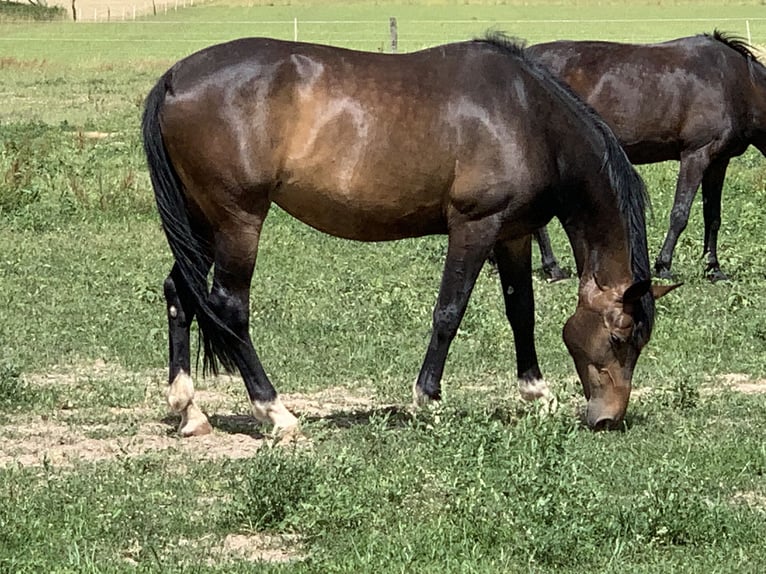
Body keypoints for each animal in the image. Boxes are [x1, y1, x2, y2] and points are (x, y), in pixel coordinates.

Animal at [142, 33, 677, 436]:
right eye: (621, 334)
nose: (608, 418)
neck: (528, 116)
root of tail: (174, 77)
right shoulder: (474, 225)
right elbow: (449, 313)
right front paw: (428, 400)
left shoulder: (513, 233)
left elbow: (520, 311)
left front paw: (537, 393)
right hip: (237, 219)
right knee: (229, 306)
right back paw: (276, 413)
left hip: (199, 220)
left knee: (179, 293)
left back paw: (189, 411)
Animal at [527, 31, 766, 281]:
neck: (735, 83)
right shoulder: (696, 155)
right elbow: (680, 214)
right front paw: (663, 265)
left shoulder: (719, 161)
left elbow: (713, 216)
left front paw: (714, 268)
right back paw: (553, 267)